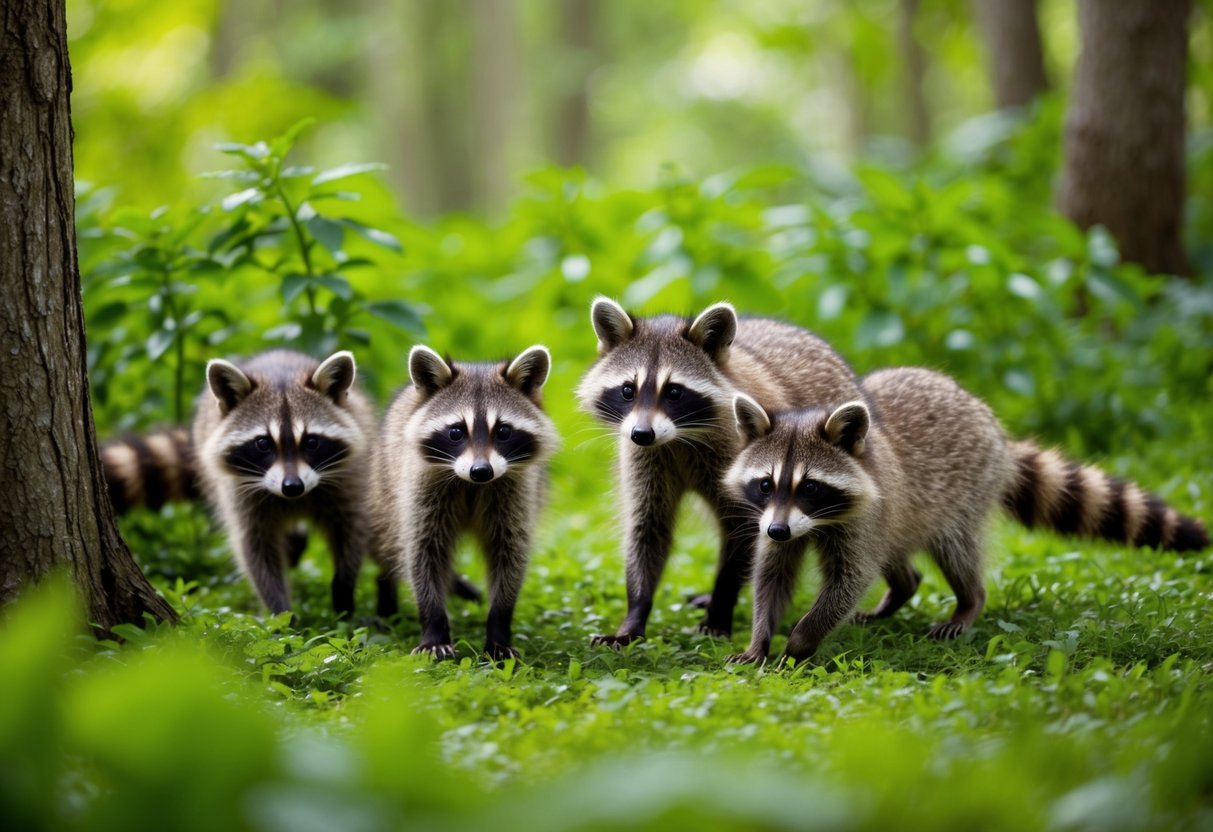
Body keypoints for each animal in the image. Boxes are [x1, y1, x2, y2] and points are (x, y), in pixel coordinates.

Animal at [374, 344, 557, 660]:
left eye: (503, 431)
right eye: (456, 432)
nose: (481, 471)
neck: (472, 485)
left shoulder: (517, 494)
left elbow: (510, 554)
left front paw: (498, 628)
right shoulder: (419, 490)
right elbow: (423, 554)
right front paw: (434, 626)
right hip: (385, 486)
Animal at [577, 298, 861, 645]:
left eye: (674, 392)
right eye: (628, 390)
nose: (642, 433)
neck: (677, 438)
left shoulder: (743, 462)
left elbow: (742, 530)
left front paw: (721, 607)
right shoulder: (646, 460)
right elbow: (648, 528)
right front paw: (634, 615)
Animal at [725, 367, 1210, 665]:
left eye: (810, 487)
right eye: (766, 484)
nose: (779, 529)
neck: (814, 521)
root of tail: (994, 428)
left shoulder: (857, 517)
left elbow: (850, 577)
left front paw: (802, 638)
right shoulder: (775, 518)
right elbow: (772, 575)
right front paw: (760, 637)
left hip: (964, 491)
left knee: (954, 550)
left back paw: (969, 600)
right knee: (897, 552)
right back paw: (902, 588)